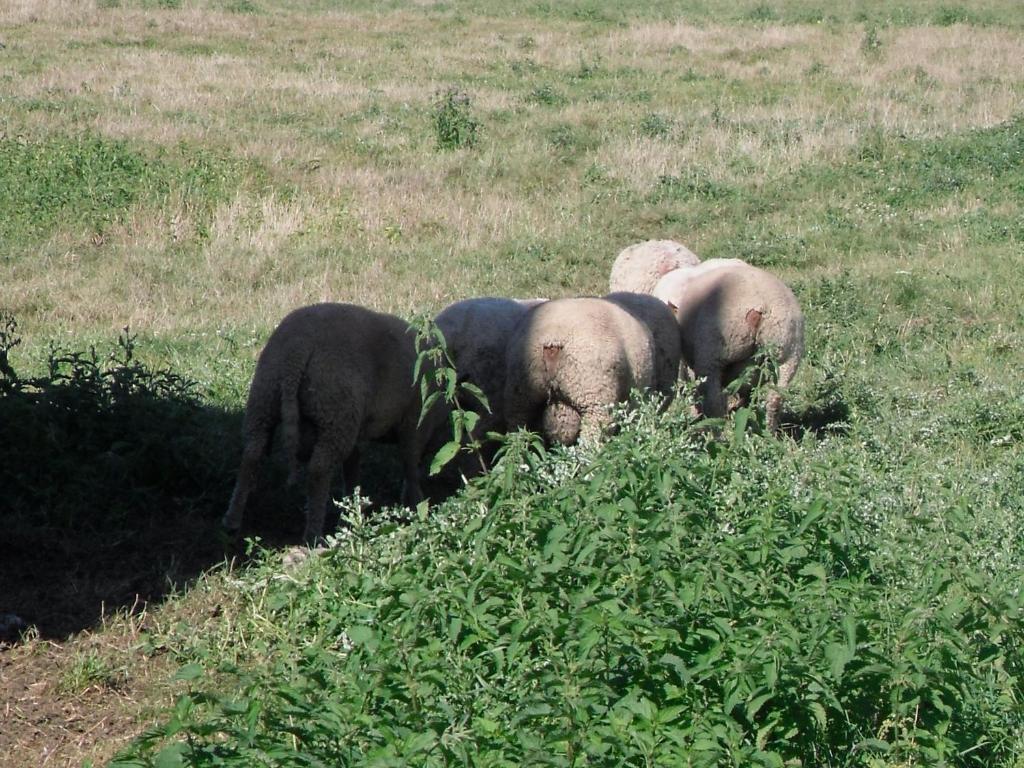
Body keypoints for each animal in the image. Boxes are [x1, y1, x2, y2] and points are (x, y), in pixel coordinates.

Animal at [224, 303, 428, 544]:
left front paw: (353, 508)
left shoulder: (357, 429)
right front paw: (417, 505)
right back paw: (313, 535)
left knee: (251, 454)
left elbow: (352, 468)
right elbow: (410, 463)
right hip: (334, 413)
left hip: (265, 397)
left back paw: (232, 521)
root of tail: (298, 347)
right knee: (319, 469)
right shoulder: (414, 419)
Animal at [651, 264, 802, 434]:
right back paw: (767, 432)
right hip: (788, 355)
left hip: (712, 356)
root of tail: (760, 305)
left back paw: (715, 430)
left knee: (714, 404)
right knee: (775, 398)